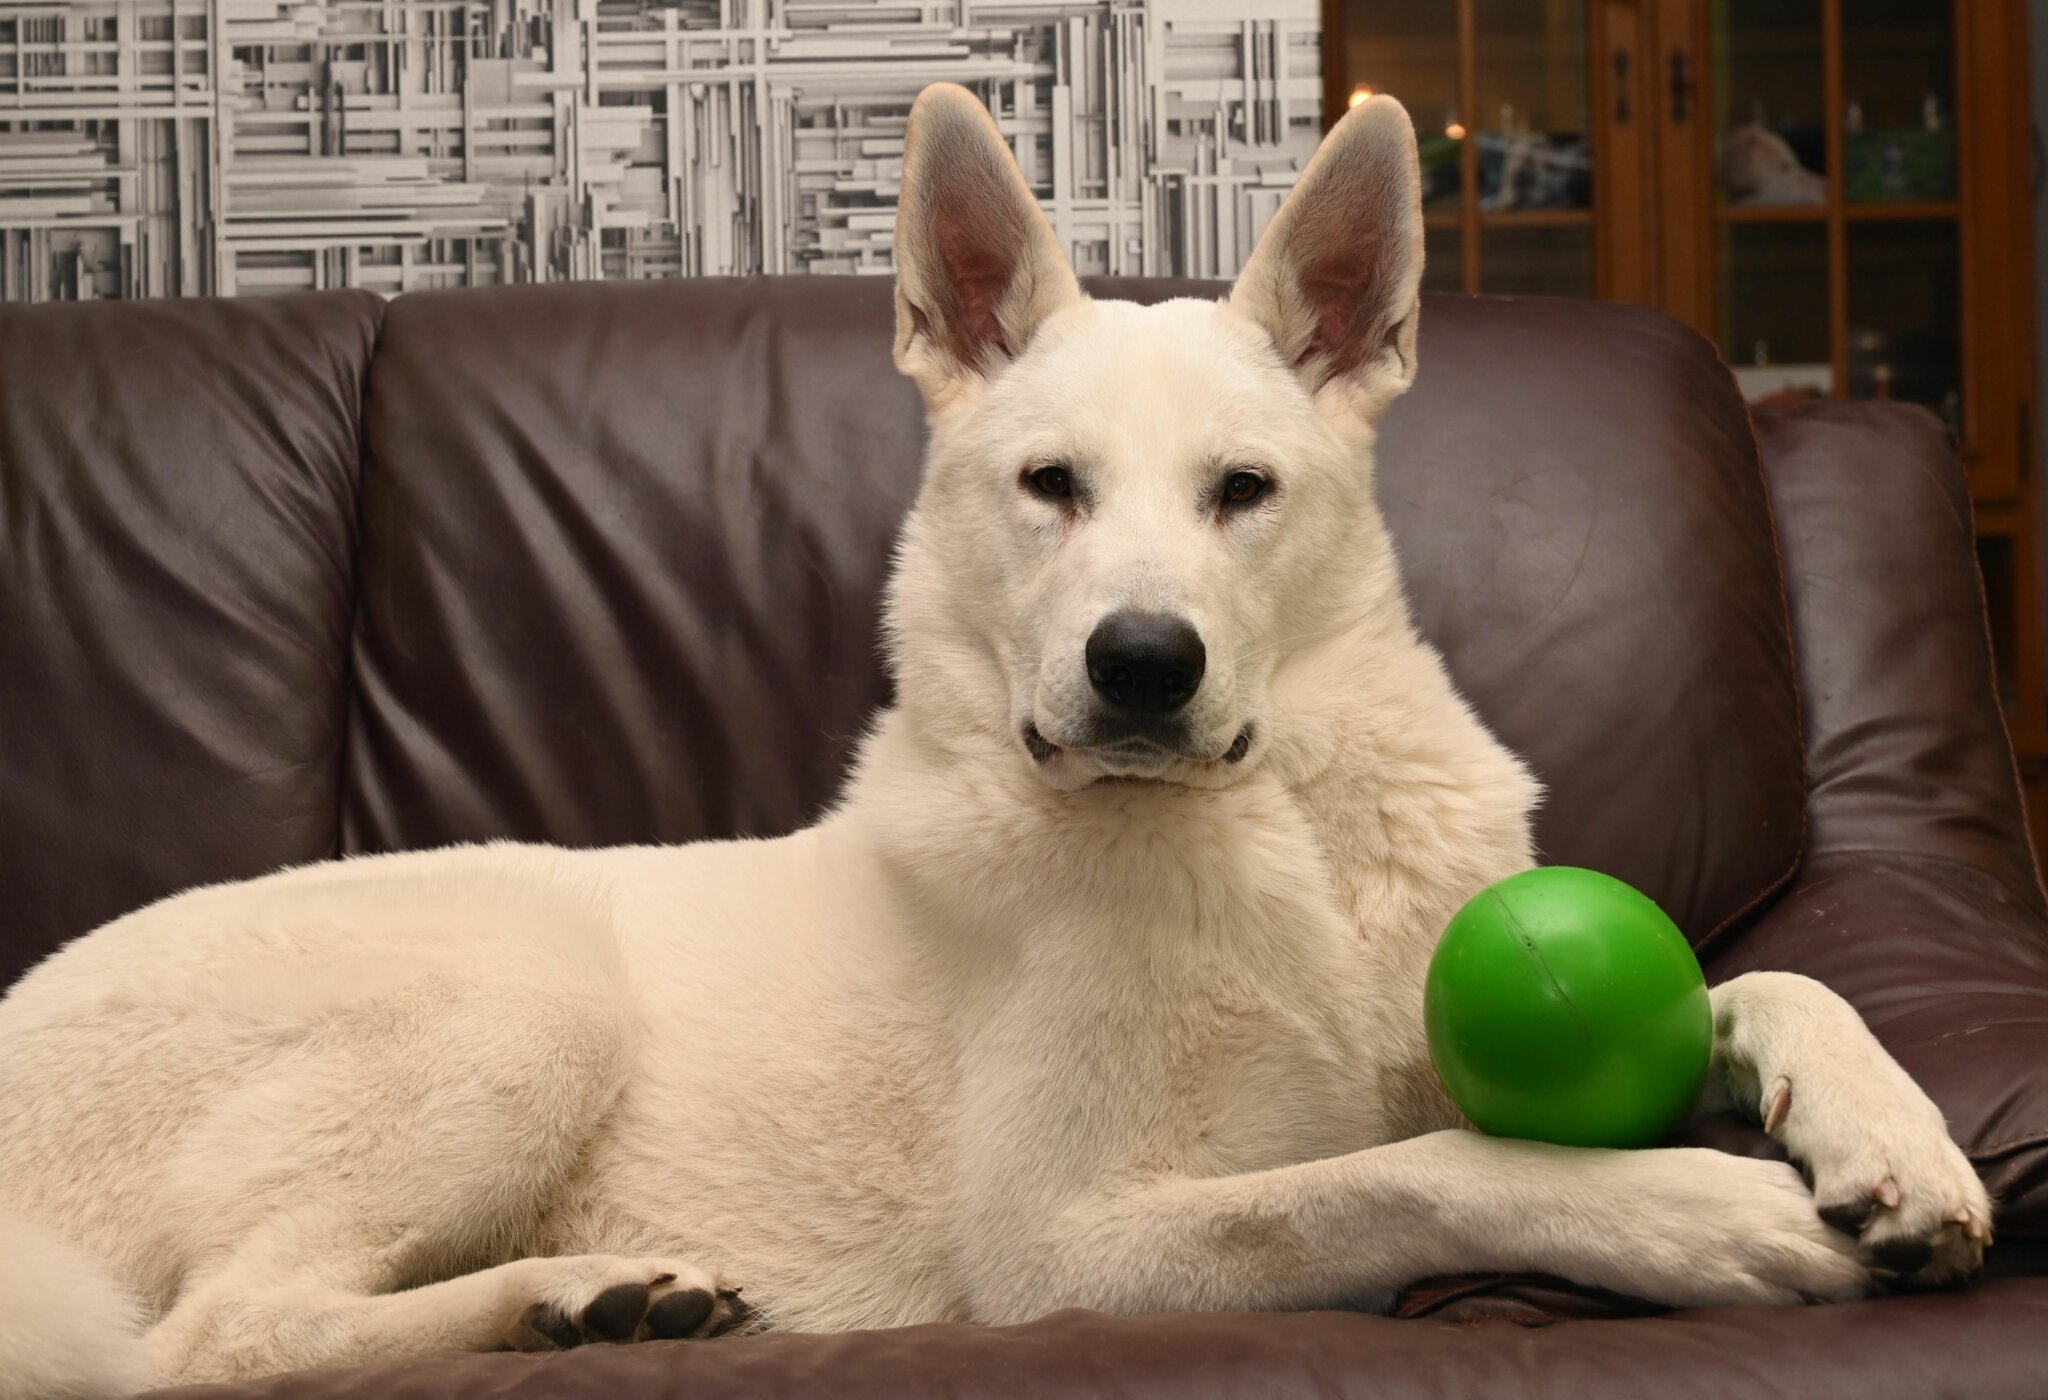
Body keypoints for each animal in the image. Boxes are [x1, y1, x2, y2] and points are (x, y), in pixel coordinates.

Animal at [0, 85, 1992, 1396]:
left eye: (1241, 491)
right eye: (1050, 487)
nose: (1141, 666)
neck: (1268, 825)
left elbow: (1770, 982)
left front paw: (1898, 1143)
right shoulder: (1070, 1242)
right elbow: (1414, 1171)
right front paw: (1701, 1210)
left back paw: (599, 1300)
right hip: (513, 997)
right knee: (216, 1337)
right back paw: (569, 1299)